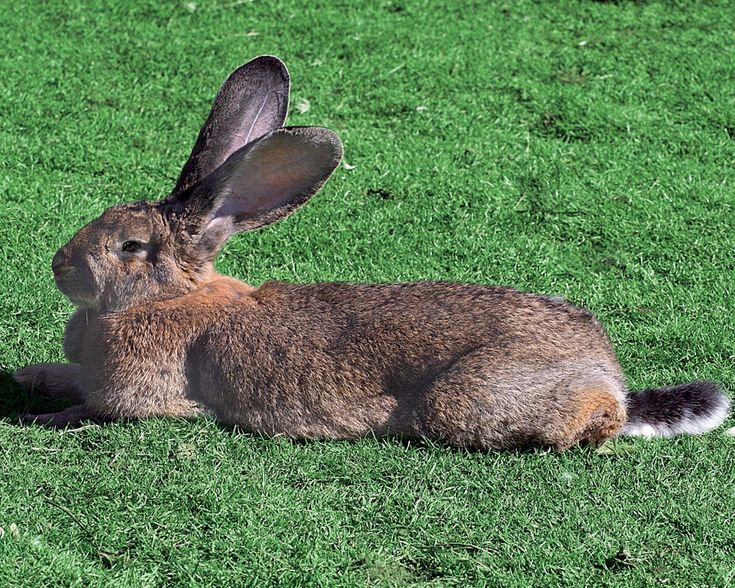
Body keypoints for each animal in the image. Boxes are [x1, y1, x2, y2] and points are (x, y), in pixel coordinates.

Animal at [13, 55, 730, 450]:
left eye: (131, 246)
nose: (59, 265)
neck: (169, 298)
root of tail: (606, 372)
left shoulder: (137, 401)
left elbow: (91, 410)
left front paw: (43, 419)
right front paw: (30, 377)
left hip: (467, 402)